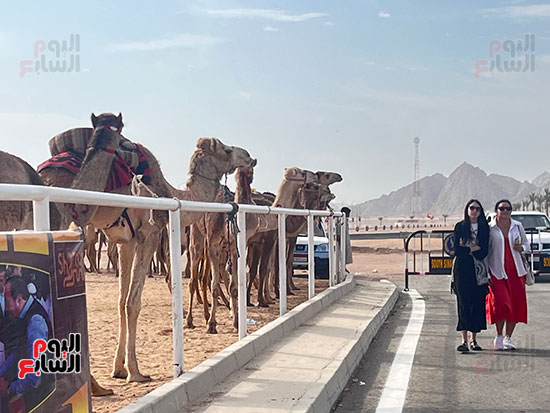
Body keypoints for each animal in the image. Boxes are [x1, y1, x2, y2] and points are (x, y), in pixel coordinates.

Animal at [38, 112, 258, 380]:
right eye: (226, 150)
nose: (248, 156)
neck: (167, 192)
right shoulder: (148, 235)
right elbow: (133, 303)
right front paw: (135, 371)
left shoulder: (125, 241)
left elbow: (121, 302)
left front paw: (118, 368)